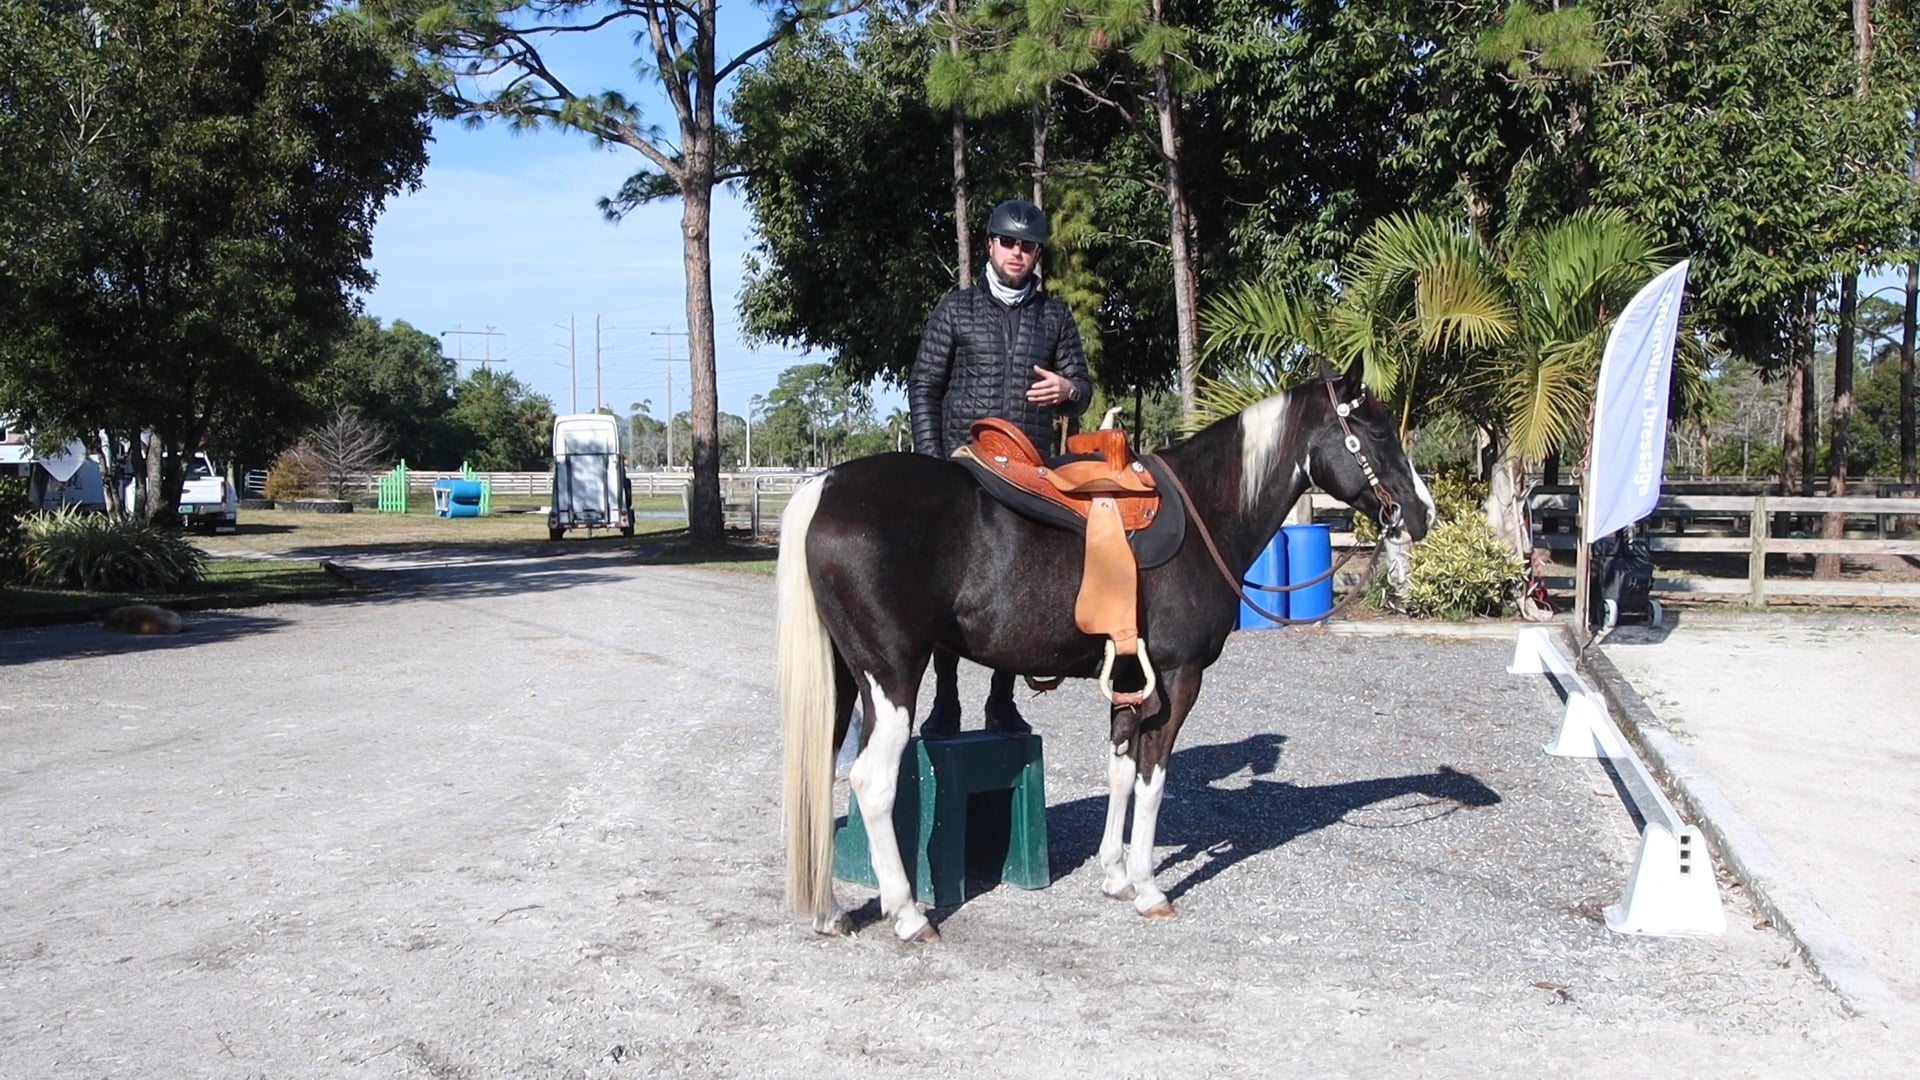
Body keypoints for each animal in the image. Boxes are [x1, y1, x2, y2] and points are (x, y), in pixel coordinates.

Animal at [776, 367, 1435, 942]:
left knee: (822, 777)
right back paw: (910, 915)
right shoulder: (1176, 678)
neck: (1206, 514)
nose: (1423, 514)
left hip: (843, 680)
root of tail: (824, 487)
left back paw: (830, 912)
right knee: (871, 780)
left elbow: (1119, 768)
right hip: (890, 676)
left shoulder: (1127, 676)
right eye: (1377, 432)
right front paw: (1147, 887)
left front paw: (1114, 874)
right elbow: (1152, 778)